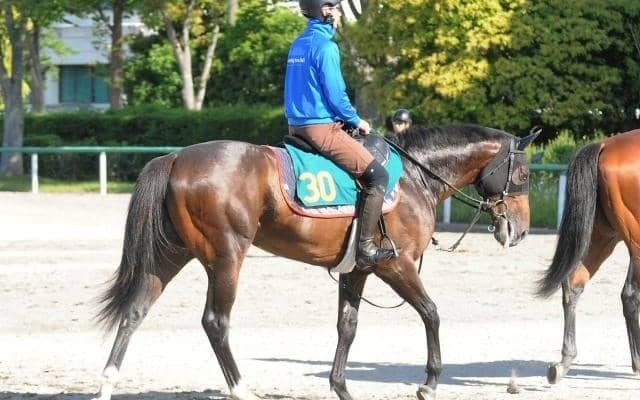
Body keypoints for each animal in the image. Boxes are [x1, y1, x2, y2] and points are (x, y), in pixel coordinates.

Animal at [91, 123, 537, 400]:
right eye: (524, 175)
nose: (520, 230)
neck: (414, 178)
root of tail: (176, 158)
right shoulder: (397, 266)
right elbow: (431, 312)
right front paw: (429, 382)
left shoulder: (358, 270)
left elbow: (347, 327)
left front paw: (341, 387)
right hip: (226, 257)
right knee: (215, 323)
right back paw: (241, 388)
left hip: (170, 256)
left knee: (135, 311)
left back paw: (107, 382)